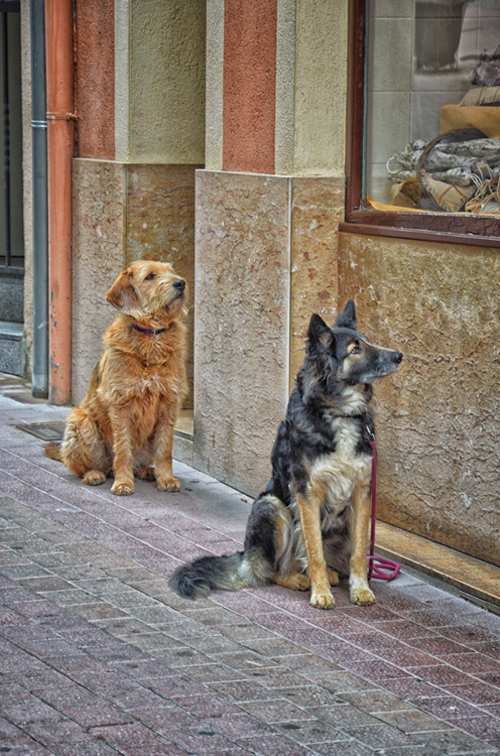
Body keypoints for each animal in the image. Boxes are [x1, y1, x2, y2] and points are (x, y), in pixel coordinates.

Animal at [46, 260, 188, 496]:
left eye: (172, 271)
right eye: (150, 276)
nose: (181, 283)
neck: (152, 338)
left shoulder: (169, 403)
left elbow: (165, 449)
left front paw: (167, 479)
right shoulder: (120, 404)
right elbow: (122, 449)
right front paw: (123, 483)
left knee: (141, 461)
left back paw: (146, 471)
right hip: (80, 422)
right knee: (84, 467)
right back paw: (94, 474)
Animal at [171, 302, 402, 608]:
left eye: (366, 341)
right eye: (355, 350)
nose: (399, 356)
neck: (339, 413)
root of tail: (246, 556)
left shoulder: (361, 491)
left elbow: (358, 554)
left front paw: (360, 589)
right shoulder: (307, 492)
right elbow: (314, 550)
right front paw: (320, 593)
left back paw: (330, 575)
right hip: (272, 506)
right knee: (272, 570)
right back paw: (300, 579)